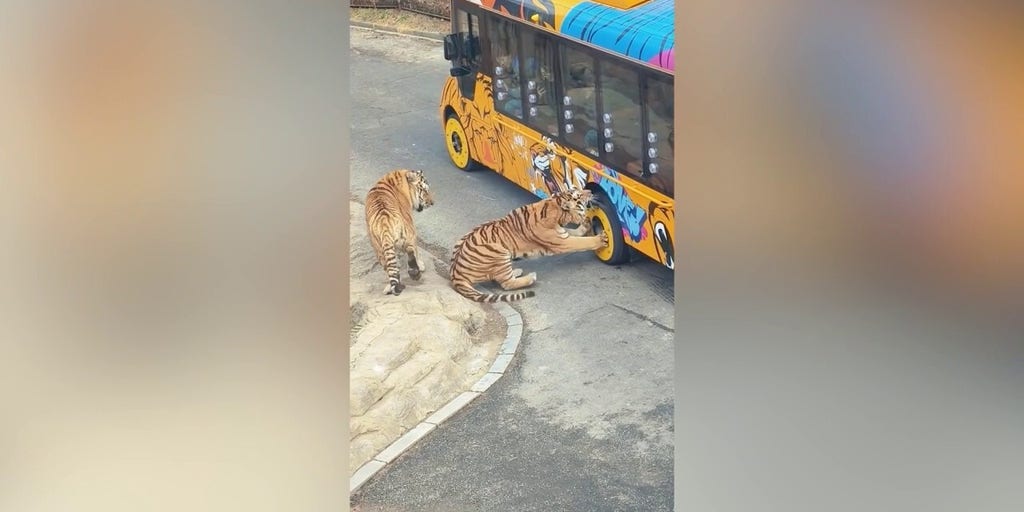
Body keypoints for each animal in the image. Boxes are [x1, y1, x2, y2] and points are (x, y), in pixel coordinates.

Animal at [448, 188, 608, 303]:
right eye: (578, 196)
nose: (591, 191)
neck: (555, 208)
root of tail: (455, 274)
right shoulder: (562, 242)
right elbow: (583, 242)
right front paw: (601, 238)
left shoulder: (563, 234)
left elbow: (576, 232)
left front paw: (586, 224)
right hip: (499, 252)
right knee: (506, 283)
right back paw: (530, 277)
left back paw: (517, 271)